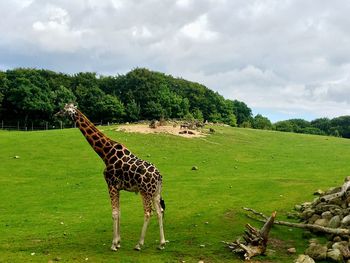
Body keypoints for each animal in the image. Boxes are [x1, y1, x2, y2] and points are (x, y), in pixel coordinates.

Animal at [60, 103, 166, 252]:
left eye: (64, 109)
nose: (56, 114)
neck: (105, 153)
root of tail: (159, 176)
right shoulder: (118, 187)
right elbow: (119, 212)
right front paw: (119, 242)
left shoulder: (111, 185)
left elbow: (114, 213)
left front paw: (114, 244)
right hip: (155, 192)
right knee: (159, 211)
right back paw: (161, 243)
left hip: (145, 192)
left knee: (148, 212)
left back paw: (139, 244)